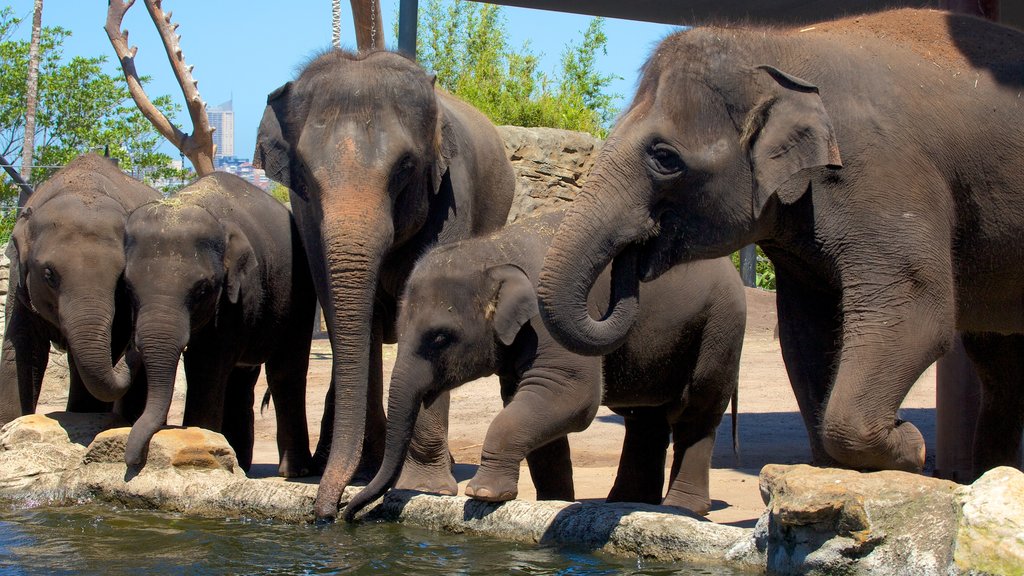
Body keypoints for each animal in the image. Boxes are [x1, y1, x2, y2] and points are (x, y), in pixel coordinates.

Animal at [0, 154, 158, 424]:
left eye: (121, 277)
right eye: (49, 275)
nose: (134, 347)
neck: (82, 188)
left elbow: (108, 347)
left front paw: (81, 418)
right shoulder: (18, 283)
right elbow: (21, 345)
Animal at [120, 171, 313, 475]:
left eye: (202, 289)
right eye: (128, 287)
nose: (133, 463)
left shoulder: (236, 296)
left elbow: (206, 367)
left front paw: (200, 444)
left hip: (300, 290)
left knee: (285, 372)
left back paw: (294, 471)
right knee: (241, 380)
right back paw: (240, 464)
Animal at [252, 48, 516, 516]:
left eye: (405, 167)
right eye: (305, 173)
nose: (331, 513)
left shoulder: (452, 196)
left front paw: (426, 488)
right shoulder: (308, 218)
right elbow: (350, 317)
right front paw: (364, 474)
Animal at [344, 208, 745, 518]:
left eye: (441, 337)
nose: (346, 513)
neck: (493, 247)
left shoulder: (550, 321)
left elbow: (569, 396)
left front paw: (484, 495)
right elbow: (526, 404)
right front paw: (553, 503)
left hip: (720, 327)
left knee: (697, 413)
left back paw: (681, 509)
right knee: (645, 418)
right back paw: (628, 503)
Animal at [536, 8, 1024, 477]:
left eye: (664, 157)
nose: (632, 252)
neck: (777, 47)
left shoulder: (889, 177)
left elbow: (919, 313)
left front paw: (911, 447)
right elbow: (806, 331)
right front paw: (843, 466)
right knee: (998, 362)